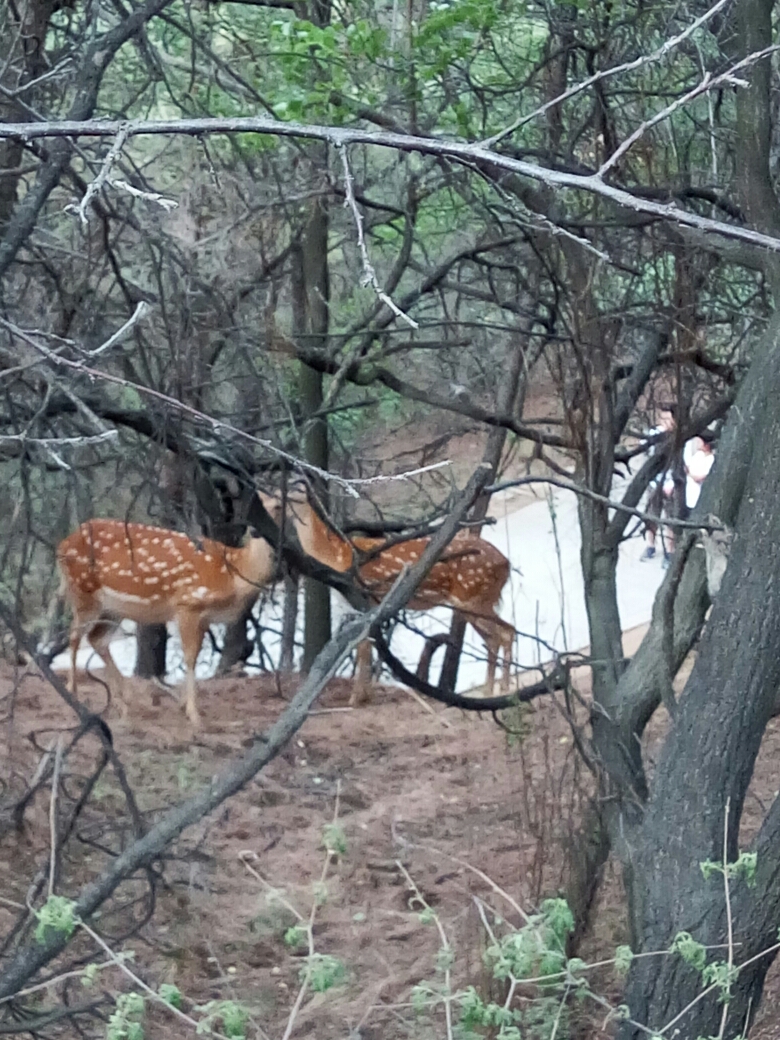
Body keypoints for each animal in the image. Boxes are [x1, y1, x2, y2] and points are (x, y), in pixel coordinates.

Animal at [56, 515, 278, 728]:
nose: (257, 531)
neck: (234, 572)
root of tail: (62, 546)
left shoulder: (204, 616)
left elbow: (193, 655)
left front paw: (184, 706)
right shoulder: (187, 603)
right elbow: (190, 658)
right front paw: (193, 714)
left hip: (114, 608)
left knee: (97, 638)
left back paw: (125, 703)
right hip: (83, 590)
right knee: (75, 636)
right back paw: (73, 694)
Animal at [263, 488, 515, 703]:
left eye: (281, 498)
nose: (269, 509)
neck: (336, 556)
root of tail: (507, 563)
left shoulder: (364, 598)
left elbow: (364, 648)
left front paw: (356, 699)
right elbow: (365, 646)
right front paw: (364, 696)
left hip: (472, 597)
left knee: (506, 632)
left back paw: (502, 690)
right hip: (473, 602)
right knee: (494, 638)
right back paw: (490, 691)